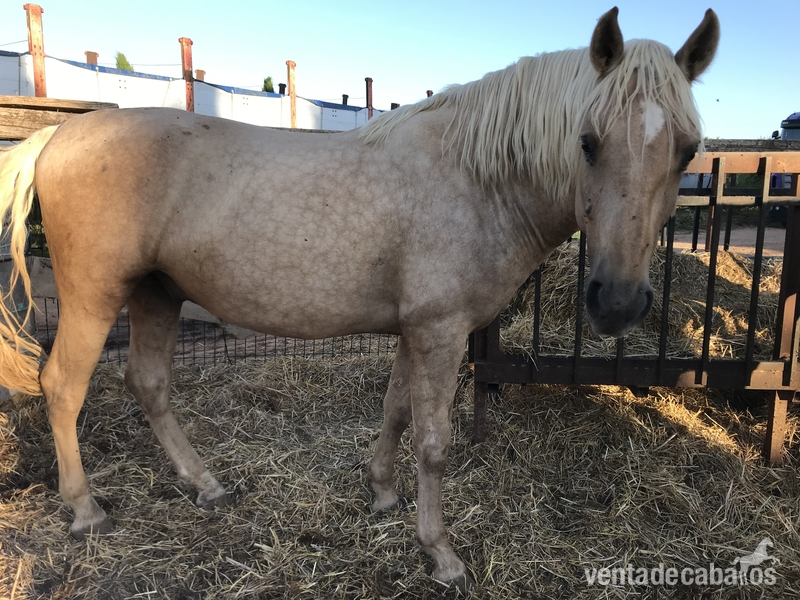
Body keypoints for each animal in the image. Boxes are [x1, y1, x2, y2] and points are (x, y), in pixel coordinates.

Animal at [0, 7, 718, 591]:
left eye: (687, 151)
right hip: (97, 298)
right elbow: (433, 439)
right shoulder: (440, 332)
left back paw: (206, 485)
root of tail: (57, 137)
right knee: (62, 386)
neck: (478, 178)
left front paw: (381, 494)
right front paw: (441, 553)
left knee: (149, 384)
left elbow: (396, 412)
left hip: (157, 294)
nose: (617, 300)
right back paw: (85, 509)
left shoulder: (414, 330)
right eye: (588, 141)